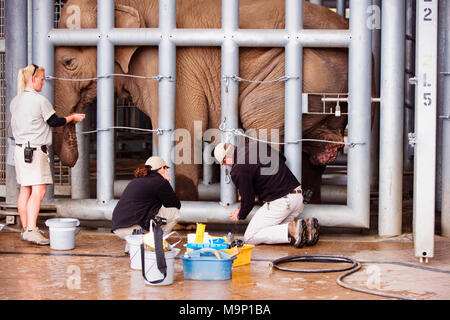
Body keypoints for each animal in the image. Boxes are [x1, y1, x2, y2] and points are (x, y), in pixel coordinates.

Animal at [54, 0, 352, 201]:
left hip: (303, 74)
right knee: (314, 150)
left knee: (258, 122)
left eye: (68, 62)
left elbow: (182, 130)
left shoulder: (170, 65)